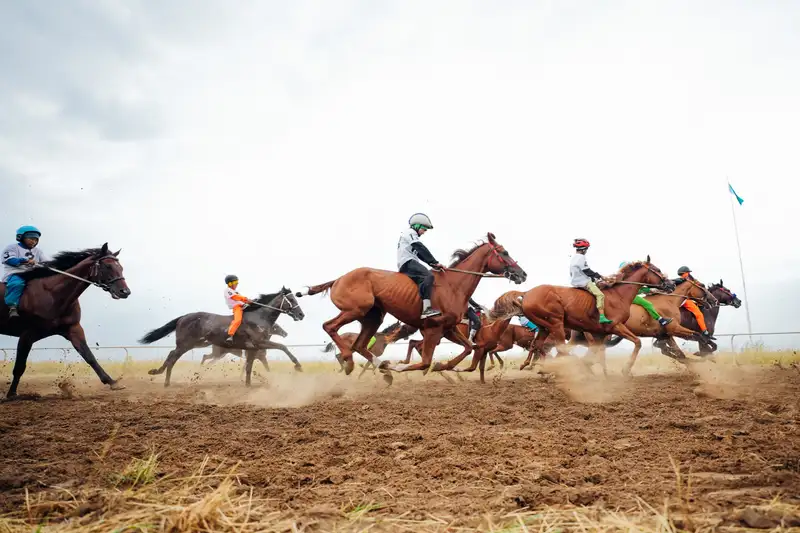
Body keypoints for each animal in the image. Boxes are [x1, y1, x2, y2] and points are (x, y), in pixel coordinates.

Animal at [0, 243, 130, 396]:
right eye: (108, 266)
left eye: (120, 267)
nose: (125, 292)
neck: (52, 294)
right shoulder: (27, 334)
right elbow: (19, 366)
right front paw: (11, 393)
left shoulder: (73, 328)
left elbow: (89, 356)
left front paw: (112, 382)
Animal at [142, 288, 304, 384]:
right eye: (292, 300)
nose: (301, 314)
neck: (259, 318)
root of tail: (183, 318)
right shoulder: (260, 343)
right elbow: (283, 347)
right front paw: (298, 366)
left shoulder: (253, 349)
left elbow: (248, 368)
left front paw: (248, 385)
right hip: (187, 344)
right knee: (172, 356)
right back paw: (164, 379)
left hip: (198, 343)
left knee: (172, 355)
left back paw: (159, 374)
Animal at [296, 233, 528, 382]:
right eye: (504, 252)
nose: (522, 274)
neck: (453, 285)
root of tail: (339, 279)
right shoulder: (433, 329)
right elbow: (425, 362)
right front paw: (404, 366)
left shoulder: (449, 328)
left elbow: (469, 348)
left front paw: (443, 366)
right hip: (355, 309)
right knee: (330, 327)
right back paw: (351, 361)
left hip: (373, 316)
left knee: (360, 345)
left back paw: (384, 368)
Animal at [520, 256, 676, 374]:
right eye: (658, 270)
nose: (672, 284)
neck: (618, 295)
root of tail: (526, 294)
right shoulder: (615, 326)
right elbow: (637, 342)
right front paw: (626, 369)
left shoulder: (599, 334)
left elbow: (596, 356)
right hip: (556, 324)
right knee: (560, 349)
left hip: (544, 326)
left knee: (537, 345)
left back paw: (532, 365)